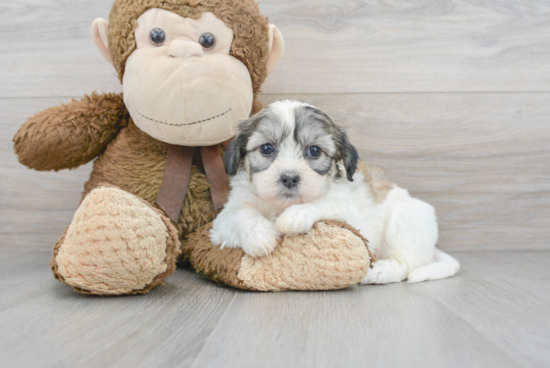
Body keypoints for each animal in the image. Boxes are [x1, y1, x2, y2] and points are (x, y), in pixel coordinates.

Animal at [211, 100, 462, 284]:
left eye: (314, 151)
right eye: (266, 148)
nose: (289, 177)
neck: (280, 206)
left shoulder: (350, 214)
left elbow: (323, 203)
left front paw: (295, 215)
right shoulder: (222, 220)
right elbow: (241, 215)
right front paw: (259, 235)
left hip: (408, 217)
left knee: (406, 264)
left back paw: (377, 271)